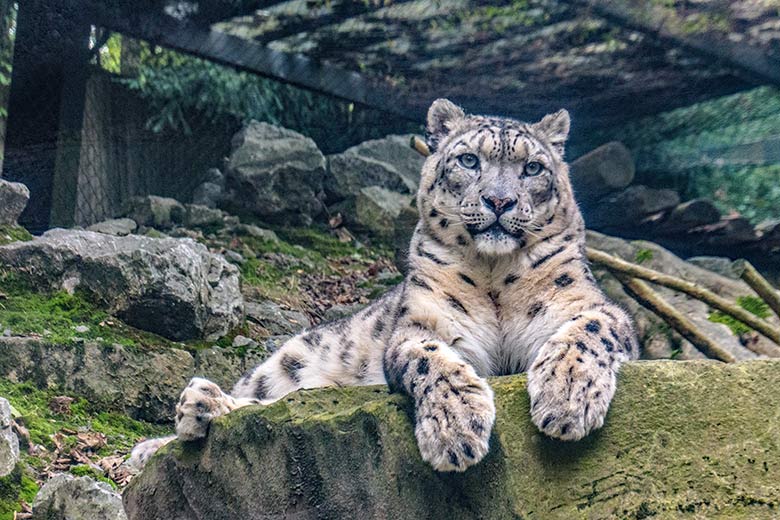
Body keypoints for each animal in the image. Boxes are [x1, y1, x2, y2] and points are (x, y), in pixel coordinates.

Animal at [131, 99, 636, 474]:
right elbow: (431, 359)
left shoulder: (589, 306)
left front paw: (567, 398)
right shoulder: (423, 323)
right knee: (258, 394)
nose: (499, 200)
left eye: (532, 168)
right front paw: (456, 429)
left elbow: (588, 331)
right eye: (469, 159)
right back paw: (190, 412)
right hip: (289, 358)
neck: (495, 279)